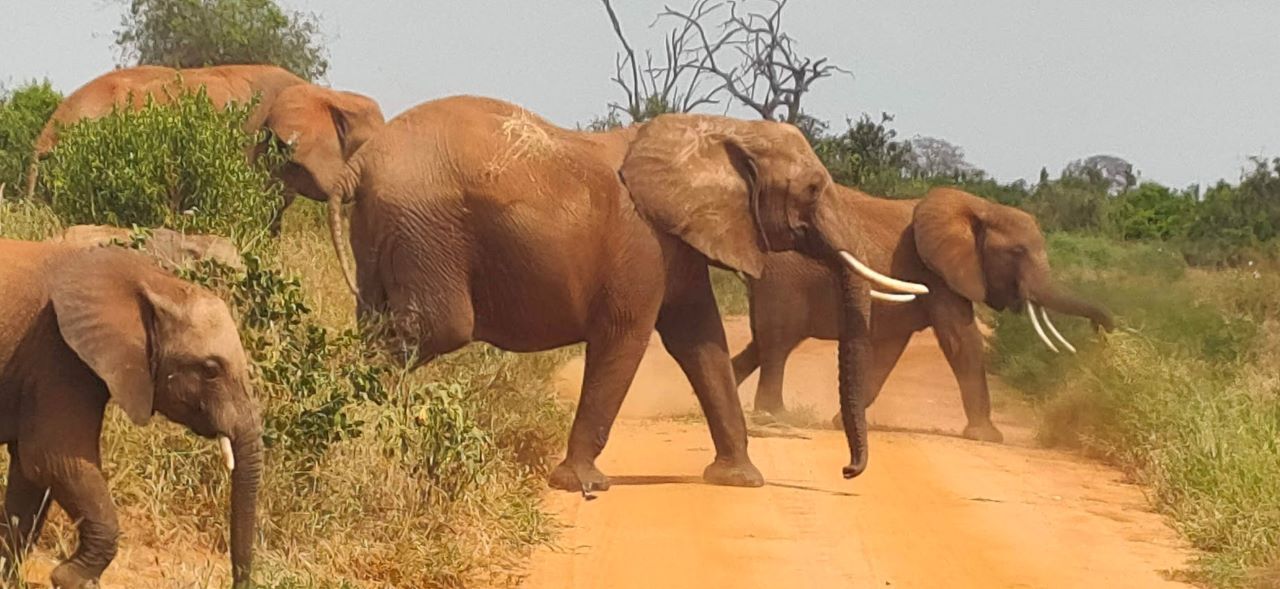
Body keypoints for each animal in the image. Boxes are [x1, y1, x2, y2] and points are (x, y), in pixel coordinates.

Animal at [0, 239, 262, 588]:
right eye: (210, 370)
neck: (152, 280)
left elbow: (30, 478)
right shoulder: (58, 353)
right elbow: (52, 459)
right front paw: (70, 578)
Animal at [329, 95, 928, 491]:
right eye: (812, 190)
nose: (848, 471)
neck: (717, 130)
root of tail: (358, 164)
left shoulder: (677, 243)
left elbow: (700, 342)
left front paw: (739, 480)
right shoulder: (642, 244)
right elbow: (627, 337)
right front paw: (582, 486)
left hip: (388, 233)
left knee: (378, 323)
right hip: (425, 229)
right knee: (431, 329)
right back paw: (363, 425)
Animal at [731, 186, 1114, 442]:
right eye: (1018, 252)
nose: (1102, 332)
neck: (979, 208)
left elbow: (887, 351)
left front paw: (844, 421)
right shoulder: (937, 274)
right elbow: (962, 341)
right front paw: (988, 437)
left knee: (760, 345)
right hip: (784, 281)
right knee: (777, 344)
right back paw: (773, 416)